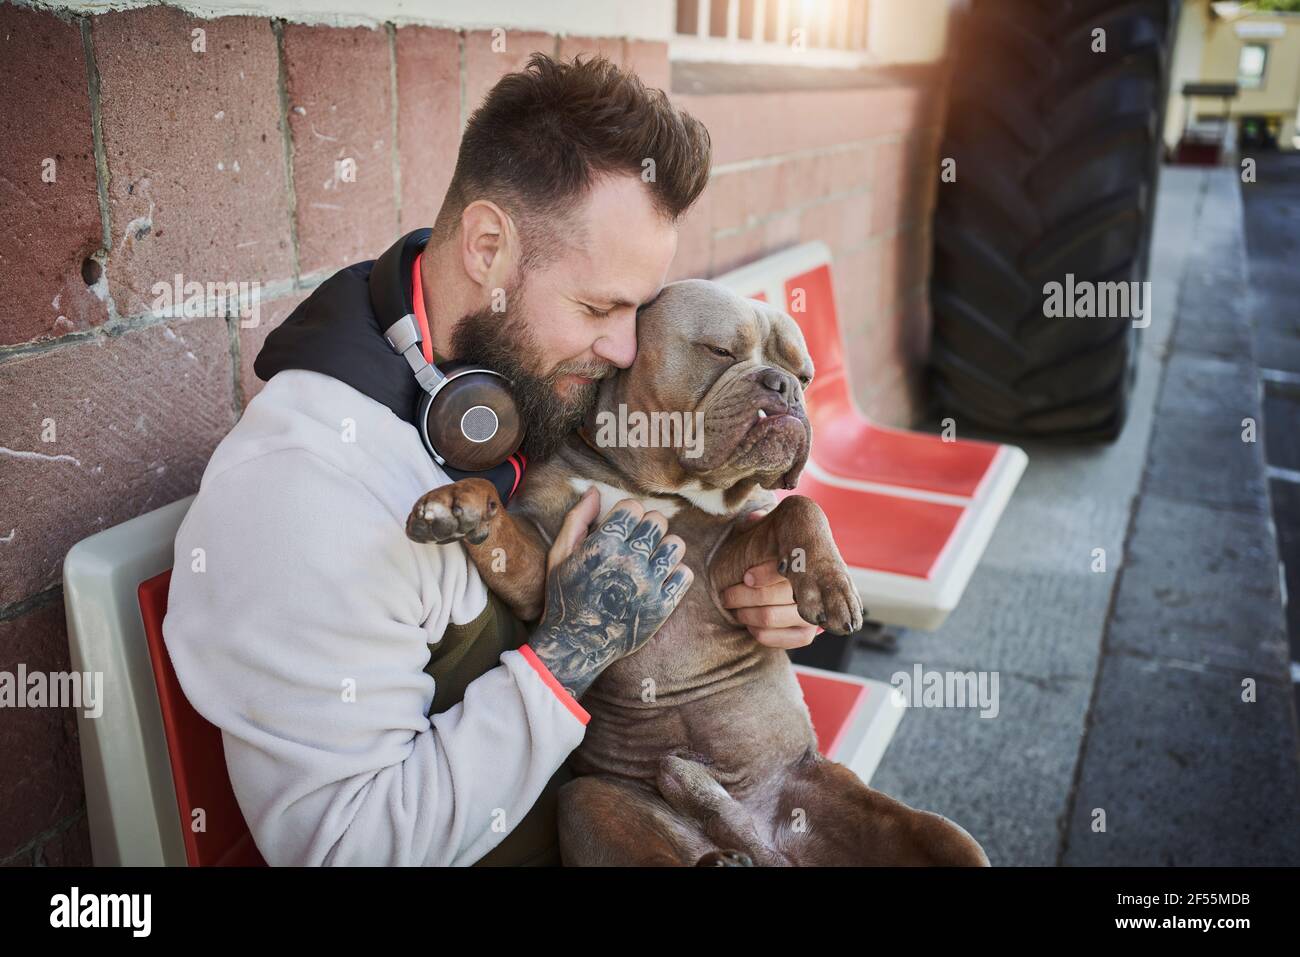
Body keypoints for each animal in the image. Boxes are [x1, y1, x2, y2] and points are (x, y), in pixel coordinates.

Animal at [403, 278, 982, 868]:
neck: (647, 482)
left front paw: (831, 584)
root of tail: (757, 831)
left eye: (805, 376)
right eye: (720, 351)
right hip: (595, 799)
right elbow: (498, 515)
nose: (784, 389)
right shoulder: (543, 567)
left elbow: (797, 509)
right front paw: (458, 501)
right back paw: (721, 858)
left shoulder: (728, 556)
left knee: (943, 835)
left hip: (927, 828)